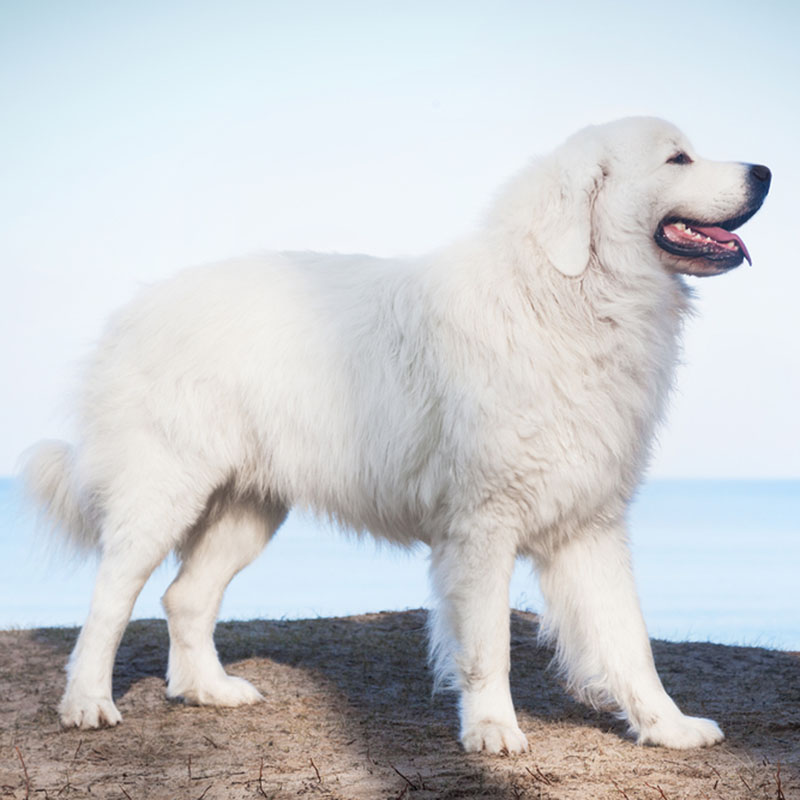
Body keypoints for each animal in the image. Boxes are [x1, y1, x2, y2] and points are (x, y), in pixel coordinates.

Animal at [28, 117, 772, 752]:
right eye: (677, 158)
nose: (766, 171)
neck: (567, 296)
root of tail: (133, 310)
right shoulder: (482, 526)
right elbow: (490, 646)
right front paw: (492, 731)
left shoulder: (590, 525)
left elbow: (630, 642)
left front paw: (668, 727)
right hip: (164, 491)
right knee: (110, 599)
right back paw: (88, 703)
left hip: (248, 509)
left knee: (183, 597)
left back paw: (206, 690)